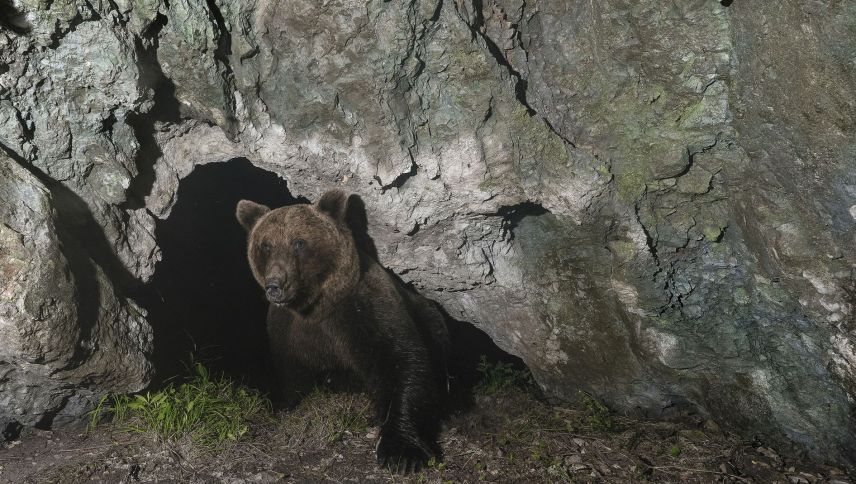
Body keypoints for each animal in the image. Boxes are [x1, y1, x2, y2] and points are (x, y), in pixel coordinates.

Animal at [236, 190, 450, 473]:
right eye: (265, 245)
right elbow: (292, 376)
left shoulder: (362, 310)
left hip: (433, 323)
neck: (314, 307)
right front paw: (286, 405)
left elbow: (401, 360)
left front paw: (402, 452)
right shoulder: (287, 331)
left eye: (298, 242)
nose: (275, 286)